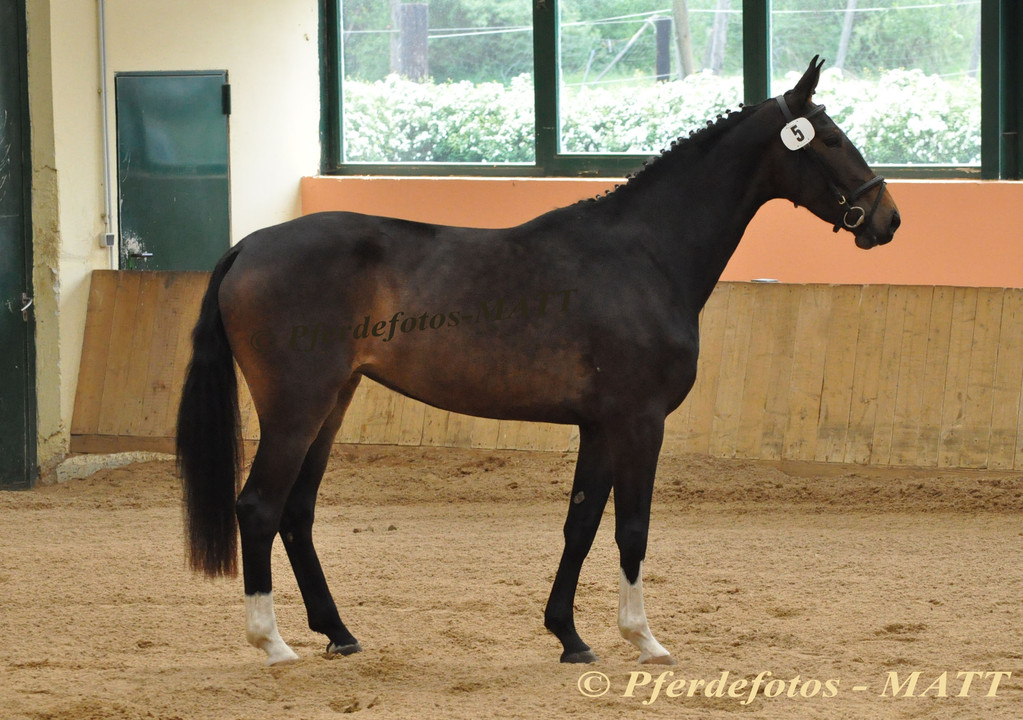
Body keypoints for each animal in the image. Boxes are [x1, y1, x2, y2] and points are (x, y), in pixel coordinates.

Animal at [180, 59, 900, 666]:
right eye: (829, 139)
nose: (887, 218)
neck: (644, 254)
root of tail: (248, 246)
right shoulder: (639, 422)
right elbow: (631, 529)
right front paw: (643, 639)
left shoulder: (600, 426)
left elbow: (580, 524)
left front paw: (570, 637)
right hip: (296, 407)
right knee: (260, 506)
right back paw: (273, 644)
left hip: (333, 403)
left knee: (296, 512)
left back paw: (339, 633)